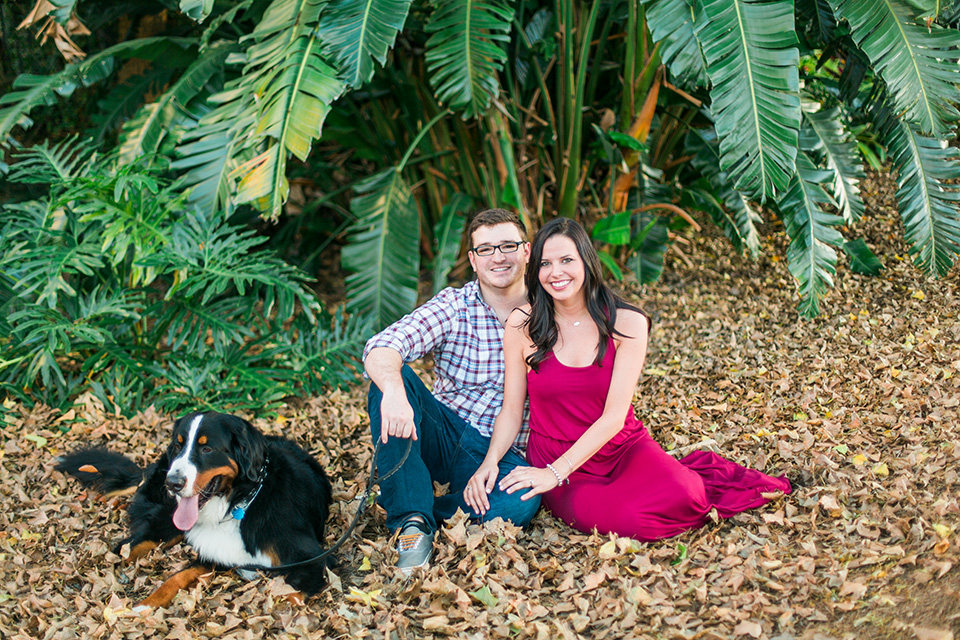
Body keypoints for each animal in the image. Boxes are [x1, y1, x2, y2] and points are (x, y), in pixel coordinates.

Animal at [57, 412, 334, 608]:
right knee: (127, 546)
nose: (172, 483)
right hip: (166, 522)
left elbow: (288, 597)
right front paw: (143, 607)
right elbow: (176, 577)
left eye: (207, 448)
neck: (241, 503)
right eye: (179, 446)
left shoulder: (311, 559)